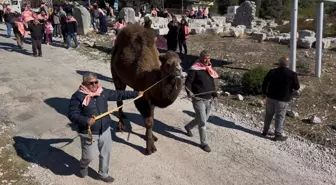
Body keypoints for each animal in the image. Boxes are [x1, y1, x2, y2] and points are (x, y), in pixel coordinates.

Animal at [110, 23, 184, 154]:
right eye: (168, 64)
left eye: (180, 62)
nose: (179, 70)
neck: (150, 77)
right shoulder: (142, 97)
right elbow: (149, 121)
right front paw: (150, 147)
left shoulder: (151, 98)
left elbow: (152, 117)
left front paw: (152, 137)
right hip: (116, 75)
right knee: (119, 99)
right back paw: (121, 125)